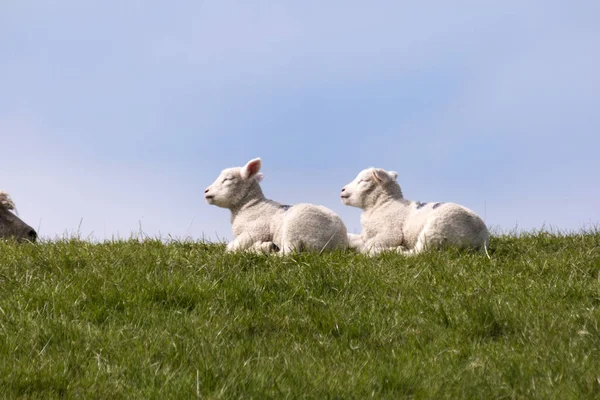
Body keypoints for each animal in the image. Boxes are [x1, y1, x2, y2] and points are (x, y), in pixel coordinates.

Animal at [205, 158, 350, 255]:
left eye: (228, 179)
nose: (206, 191)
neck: (249, 206)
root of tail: (337, 243)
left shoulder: (257, 231)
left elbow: (231, 248)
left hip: (296, 225)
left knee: (287, 253)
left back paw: (262, 249)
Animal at [340, 168, 490, 256]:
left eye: (363, 180)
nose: (342, 190)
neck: (383, 205)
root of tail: (481, 237)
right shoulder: (366, 234)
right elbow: (354, 239)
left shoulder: (391, 232)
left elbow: (368, 245)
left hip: (436, 229)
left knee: (417, 253)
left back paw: (394, 251)